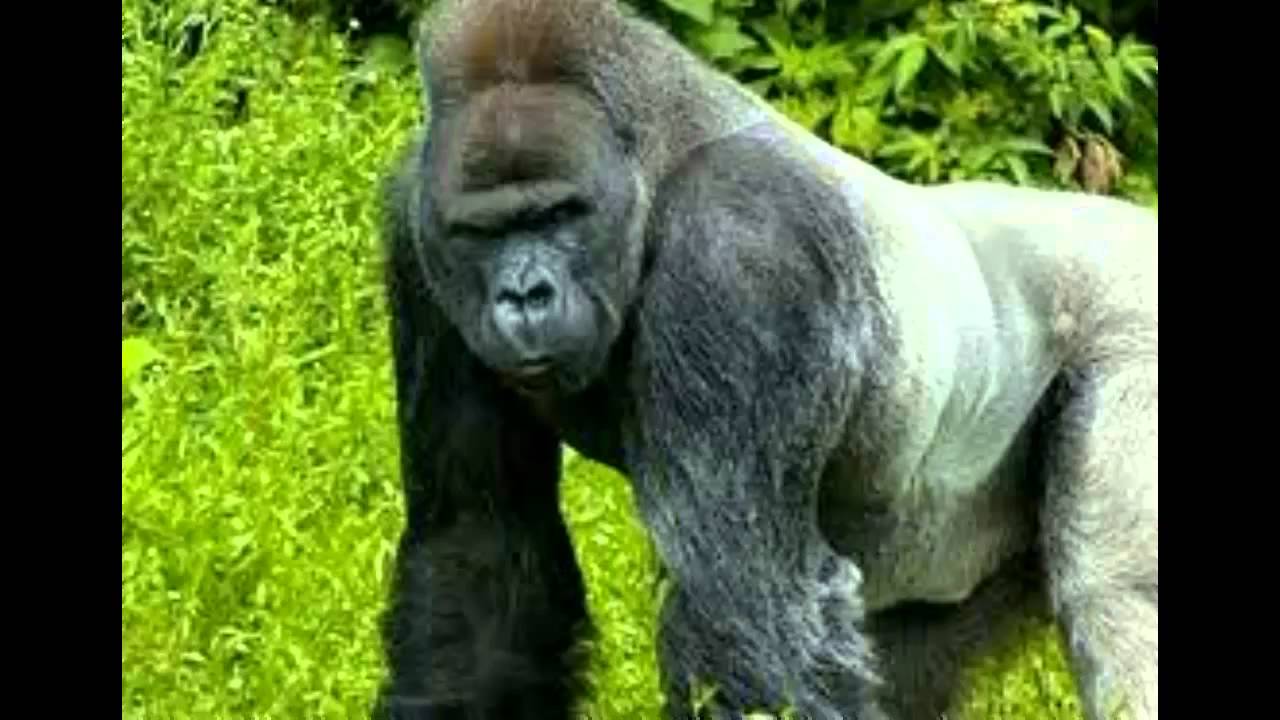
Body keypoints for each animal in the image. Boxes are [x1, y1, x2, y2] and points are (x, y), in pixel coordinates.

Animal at [370, 1, 1157, 719]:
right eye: (483, 232)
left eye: (559, 215)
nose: (524, 293)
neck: (658, 165)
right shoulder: (417, 233)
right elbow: (480, 548)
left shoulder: (738, 251)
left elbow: (744, 600)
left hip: (1134, 321)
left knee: (1112, 593)